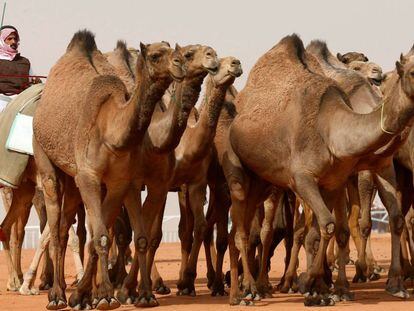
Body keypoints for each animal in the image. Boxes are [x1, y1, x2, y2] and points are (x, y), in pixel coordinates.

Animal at [33, 29, 185, 311]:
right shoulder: (89, 177)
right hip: (45, 158)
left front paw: (93, 295)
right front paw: (103, 296)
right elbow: (102, 235)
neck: (112, 131)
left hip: (73, 179)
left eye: (175, 50)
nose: (180, 63)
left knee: (65, 227)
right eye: (156, 55)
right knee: (56, 225)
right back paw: (56, 296)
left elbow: (101, 236)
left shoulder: (117, 181)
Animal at [115, 44, 220, 308]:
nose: (212, 55)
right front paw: (133, 289)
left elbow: (171, 232)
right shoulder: (148, 184)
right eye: (189, 53)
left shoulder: (174, 184)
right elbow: (148, 232)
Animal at [220, 34, 414, 308]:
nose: (378, 73)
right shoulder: (303, 179)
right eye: (411, 71)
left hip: (261, 180)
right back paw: (251, 289)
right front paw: (314, 284)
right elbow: (328, 227)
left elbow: (333, 229)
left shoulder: (354, 173)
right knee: (249, 230)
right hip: (241, 170)